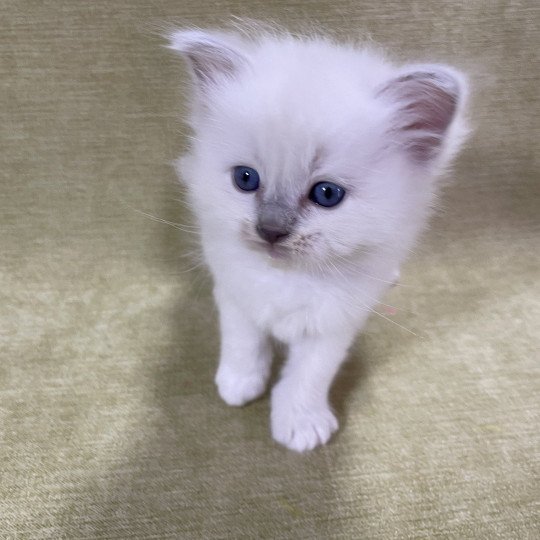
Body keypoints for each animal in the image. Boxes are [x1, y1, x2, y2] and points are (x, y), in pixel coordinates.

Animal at [169, 24, 468, 452]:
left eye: (327, 194)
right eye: (245, 179)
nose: (270, 230)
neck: (290, 276)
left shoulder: (335, 322)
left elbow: (307, 376)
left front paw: (299, 423)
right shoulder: (234, 293)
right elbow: (244, 342)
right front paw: (239, 383)